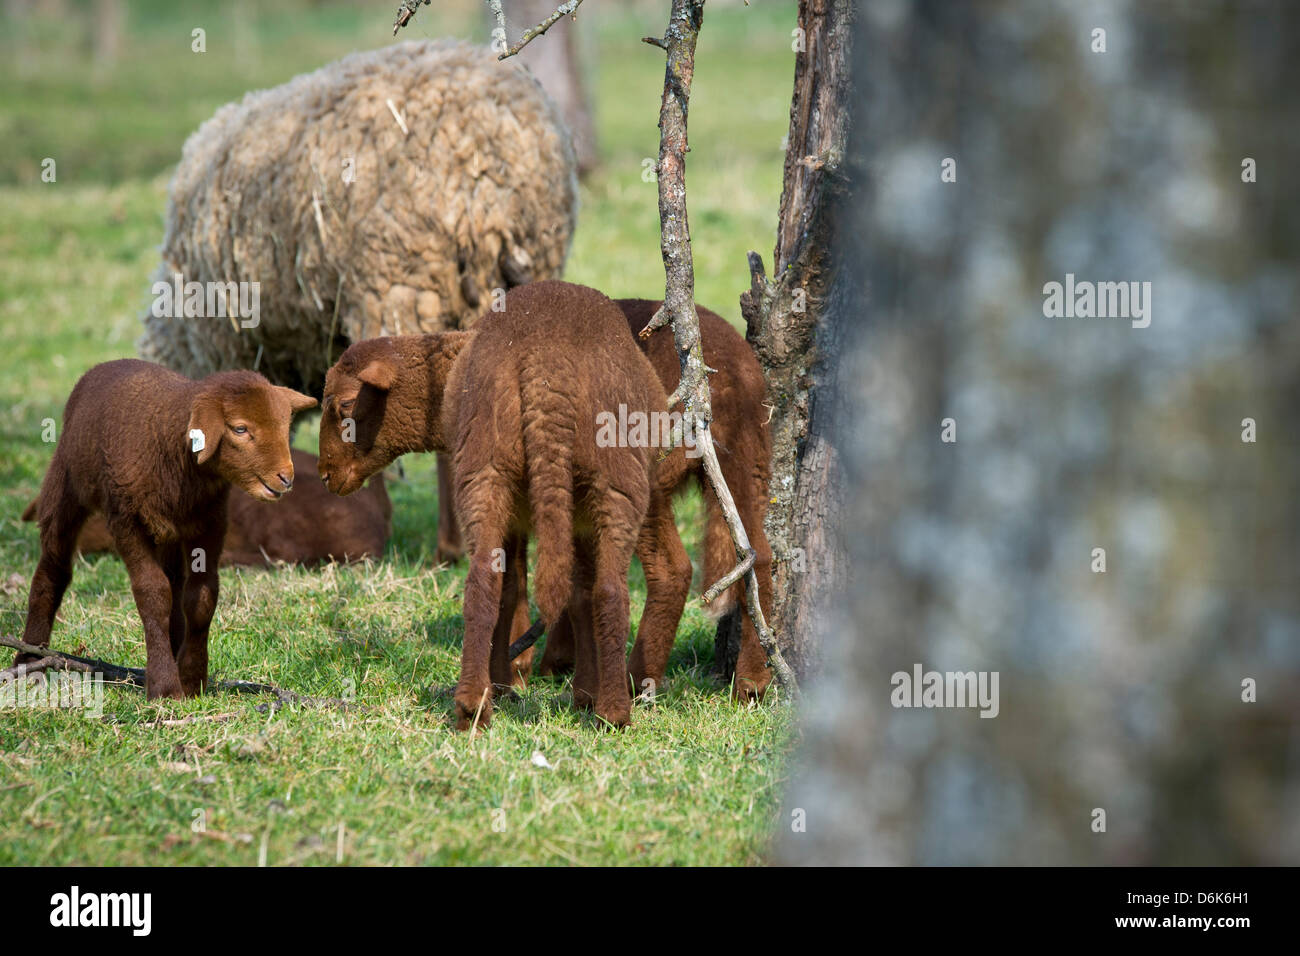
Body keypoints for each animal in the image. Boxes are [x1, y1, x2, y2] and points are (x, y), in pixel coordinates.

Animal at [20, 356, 317, 697]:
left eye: (284, 427)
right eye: (240, 429)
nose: (286, 478)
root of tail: (107, 364)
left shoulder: (211, 522)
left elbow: (202, 596)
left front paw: (191, 679)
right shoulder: (126, 520)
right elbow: (153, 593)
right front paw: (164, 686)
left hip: (170, 532)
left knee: (175, 581)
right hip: (65, 486)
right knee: (53, 568)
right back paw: (28, 660)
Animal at [318, 280, 676, 728]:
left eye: (345, 406)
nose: (324, 476)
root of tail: (546, 363)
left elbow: (543, 591)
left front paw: (550, 688)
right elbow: (539, 591)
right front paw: (548, 688)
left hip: (500, 466)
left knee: (512, 584)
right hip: (593, 476)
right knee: (599, 588)